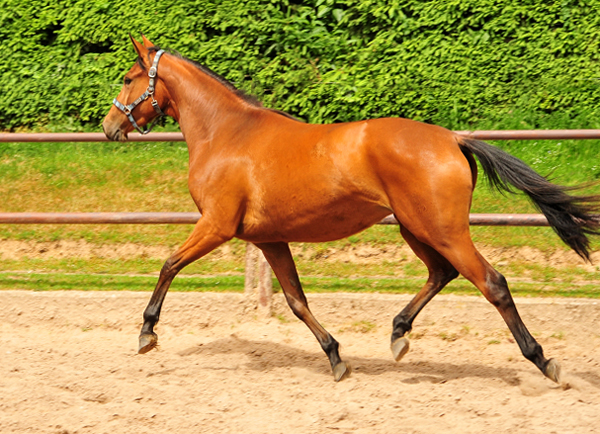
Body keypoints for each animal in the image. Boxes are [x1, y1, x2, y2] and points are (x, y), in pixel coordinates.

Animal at [101, 37, 596, 384]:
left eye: (127, 77)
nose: (108, 126)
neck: (227, 132)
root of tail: (452, 138)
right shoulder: (269, 238)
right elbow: (296, 301)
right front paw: (336, 358)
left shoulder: (217, 226)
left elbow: (169, 265)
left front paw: (147, 333)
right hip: (416, 228)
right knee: (442, 273)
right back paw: (398, 335)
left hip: (443, 230)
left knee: (491, 283)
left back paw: (543, 361)